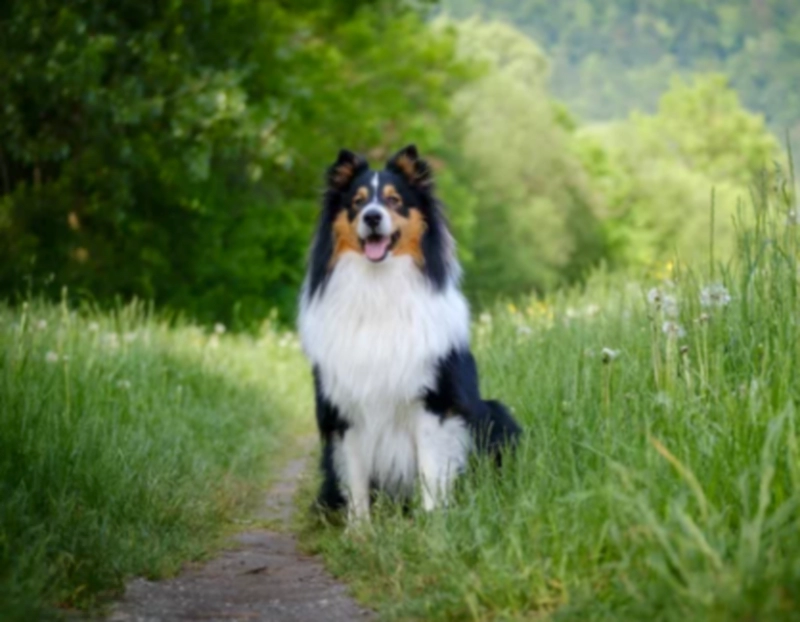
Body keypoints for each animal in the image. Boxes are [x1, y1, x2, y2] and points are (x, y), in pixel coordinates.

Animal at [296, 145, 520, 520]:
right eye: (357, 202)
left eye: (394, 200)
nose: (372, 217)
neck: (379, 287)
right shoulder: (346, 411)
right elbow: (356, 479)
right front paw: (360, 530)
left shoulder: (432, 404)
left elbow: (431, 469)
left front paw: (432, 524)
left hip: (496, 413)